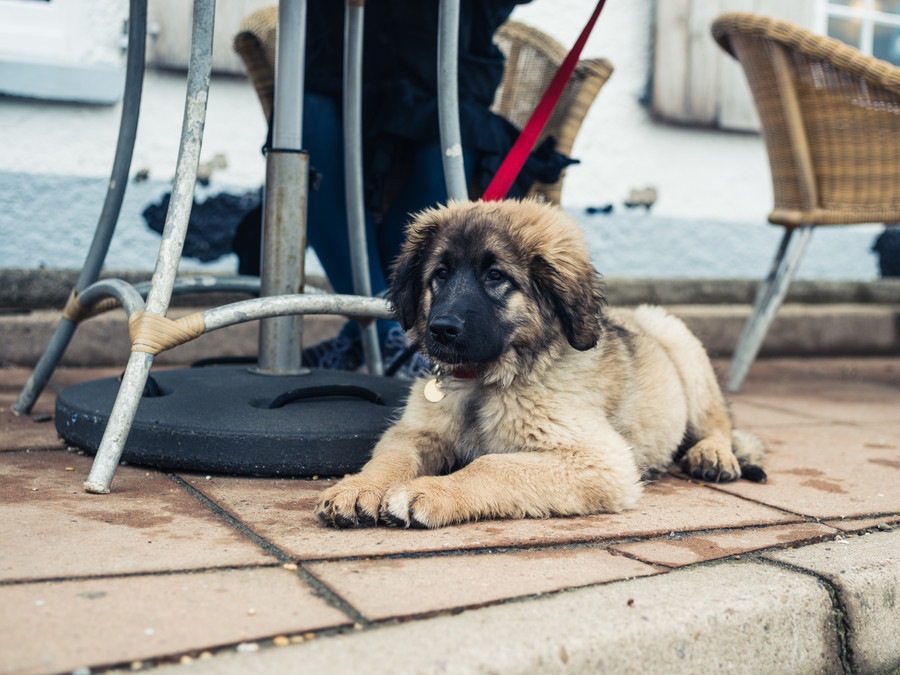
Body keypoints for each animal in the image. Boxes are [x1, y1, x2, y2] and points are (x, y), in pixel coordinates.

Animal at [312, 198, 764, 532]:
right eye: (440, 273)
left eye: (495, 275)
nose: (440, 329)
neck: (486, 379)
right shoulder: (418, 431)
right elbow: (390, 456)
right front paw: (360, 487)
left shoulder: (600, 459)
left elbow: (491, 464)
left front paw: (432, 492)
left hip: (675, 337)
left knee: (718, 421)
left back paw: (713, 454)